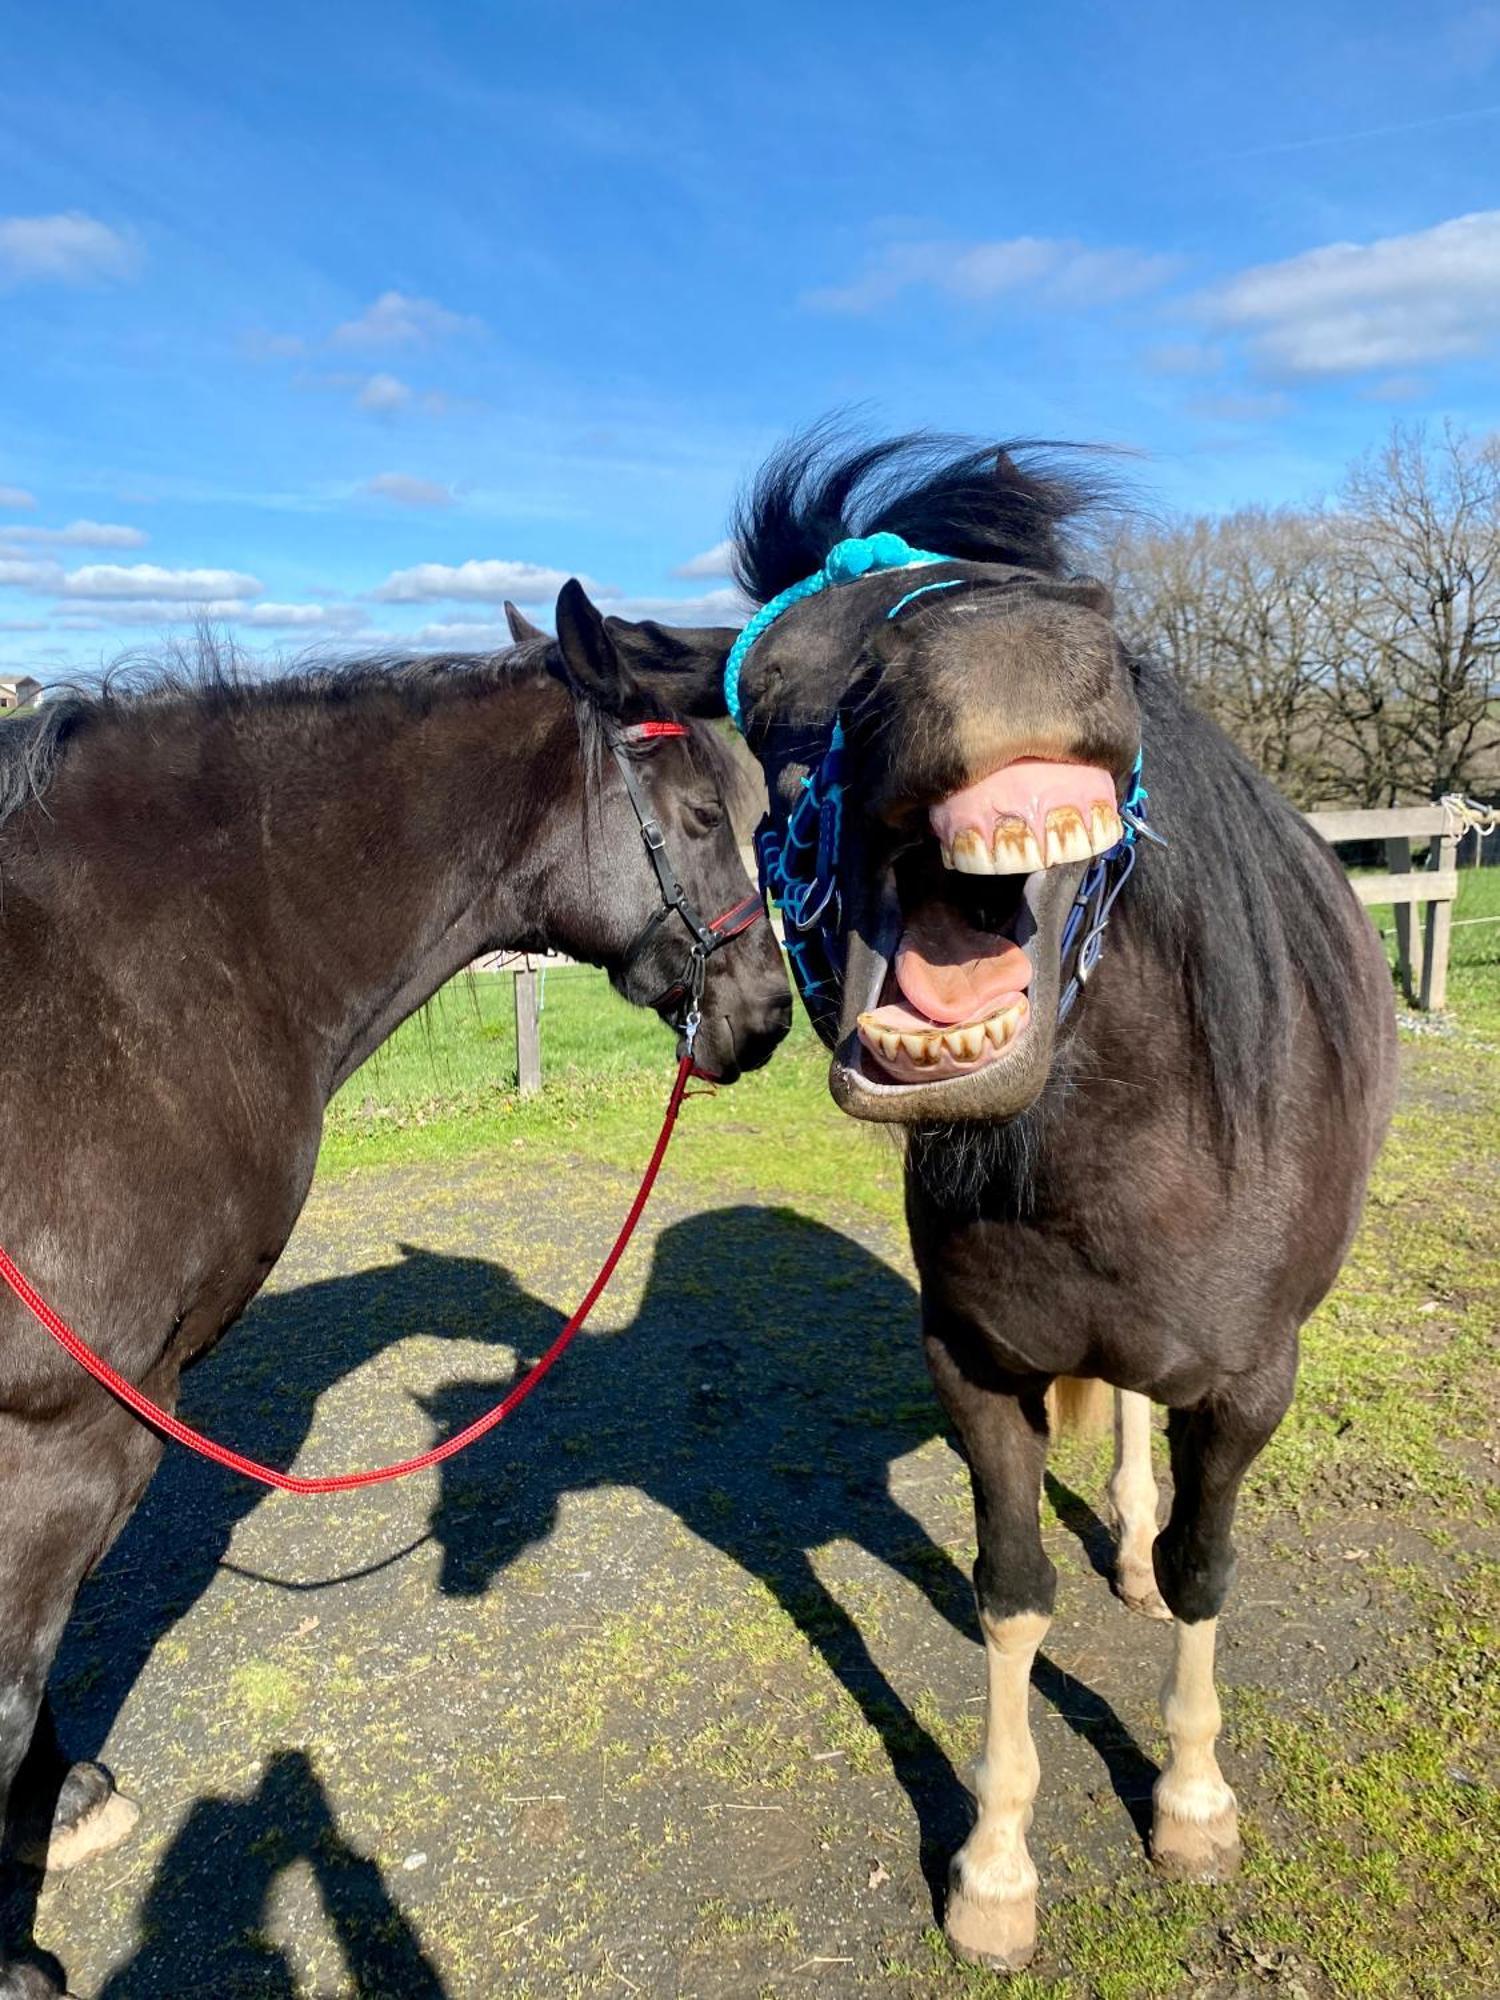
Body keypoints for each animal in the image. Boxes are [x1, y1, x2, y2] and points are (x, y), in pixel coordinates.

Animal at [0, 608, 792, 2000]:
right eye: (704, 812)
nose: (767, 1011)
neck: (139, 971)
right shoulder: (59, 1441)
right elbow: (5, 1681)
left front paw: (65, 1798)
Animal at [560, 430, 1408, 1976]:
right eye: (776, 687)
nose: (1009, 640)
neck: (1120, 1160)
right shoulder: (974, 1367)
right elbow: (1010, 1596)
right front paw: (996, 1868)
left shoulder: (1253, 1380)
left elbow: (1210, 1569)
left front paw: (1193, 1803)